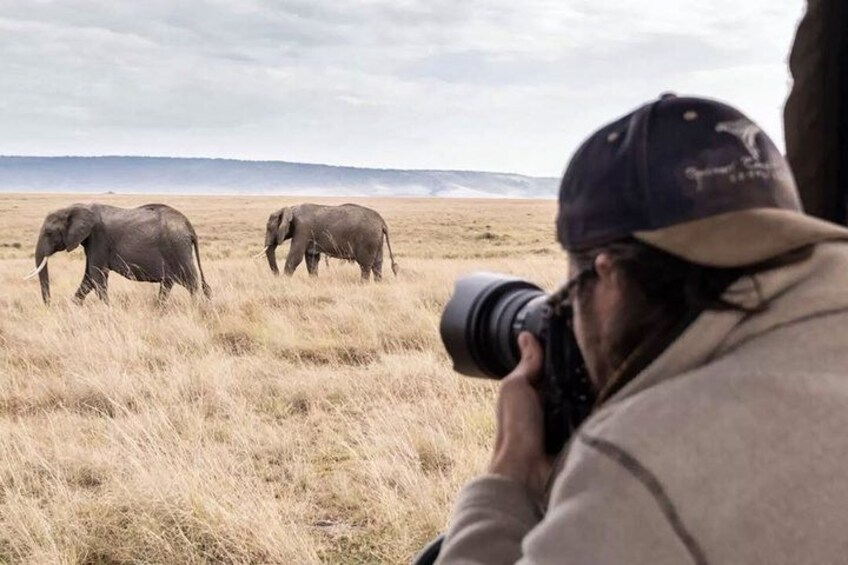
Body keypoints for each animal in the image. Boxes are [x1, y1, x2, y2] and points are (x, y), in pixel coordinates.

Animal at [24, 203, 211, 304]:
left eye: (49, 233)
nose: (49, 306)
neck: (75, 207)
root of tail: (189, 226)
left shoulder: (99, 239)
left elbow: (96, 276)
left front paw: (108, 309)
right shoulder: (91, 242)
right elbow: (89, 277)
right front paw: (74, 307)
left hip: (178, 248)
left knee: (191, 282)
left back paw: (195, 307)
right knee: (168, 284)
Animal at [259, 203, 399, 281]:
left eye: (269, 228)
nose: (277, 276)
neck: (291, 208)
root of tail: (382, 222)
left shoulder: (303, 229)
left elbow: (295, 256)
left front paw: (285, 281)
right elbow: (312, 258)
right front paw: (313, 281)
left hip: (368, 239)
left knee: (365, 265)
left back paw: (363, 285)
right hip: (377, 240)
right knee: (377, 264)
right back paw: (378, 283)